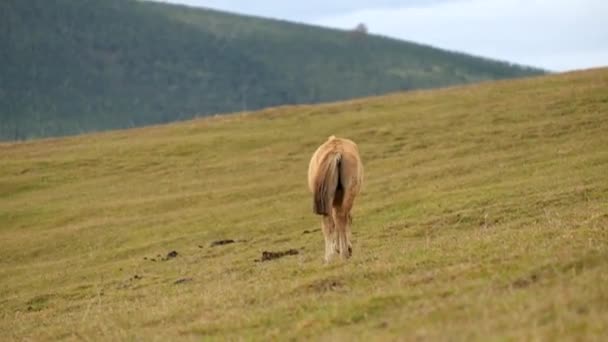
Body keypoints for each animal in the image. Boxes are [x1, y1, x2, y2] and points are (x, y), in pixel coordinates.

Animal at [306, 134, 364, 262]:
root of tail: (336, 152)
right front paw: (345, 247)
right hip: (347, 196)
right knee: (340, 218)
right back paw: (343, 253)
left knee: (330, 222)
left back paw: (329, 258)